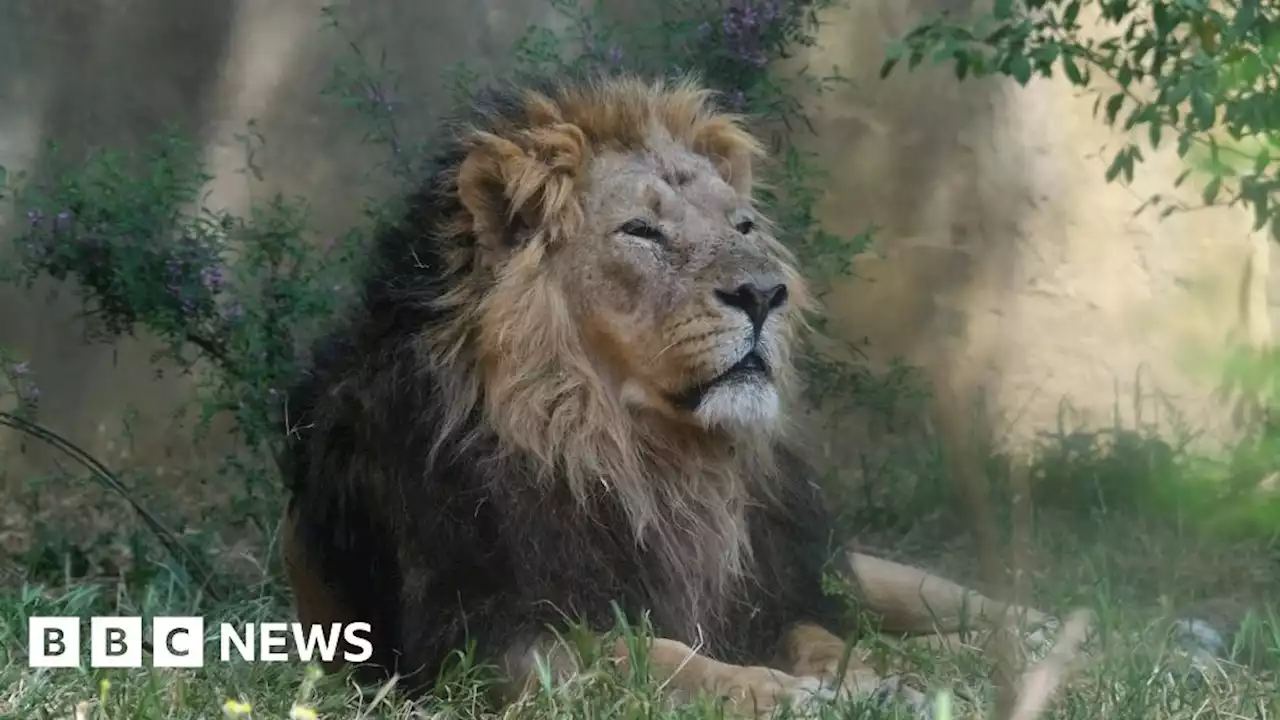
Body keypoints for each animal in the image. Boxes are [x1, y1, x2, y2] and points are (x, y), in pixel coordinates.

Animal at [280, 71, 1059, 712]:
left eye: (743, 226)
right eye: (642, 231)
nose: (764, 293)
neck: (645, 458)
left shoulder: (772, 593)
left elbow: (825, 639)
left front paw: (869, 681)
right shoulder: (476, 640)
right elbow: (648, 656)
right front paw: (788, 694)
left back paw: (1034, 635)